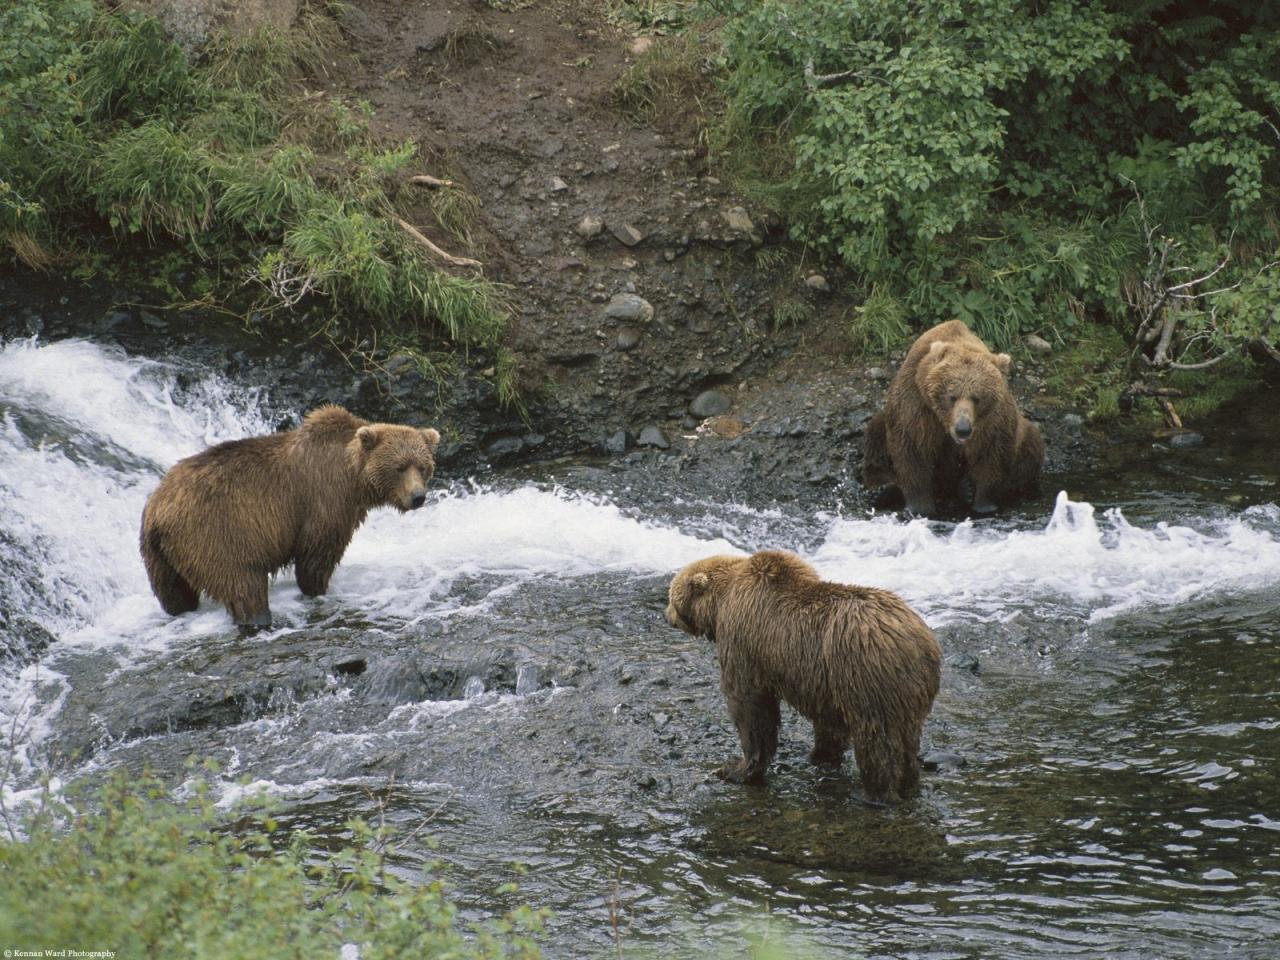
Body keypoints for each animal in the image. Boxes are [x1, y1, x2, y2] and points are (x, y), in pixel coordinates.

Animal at [140, 407, 440, 632]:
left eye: (423, 466)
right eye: (399, 467)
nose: (418, 497)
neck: (353, 477)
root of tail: (158, 509)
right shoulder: (324, 500)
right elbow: (316, 555)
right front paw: (317, 589)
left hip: (159, 555)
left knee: (174, 593)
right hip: (214, 533)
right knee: (243, 584)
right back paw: (258, 619)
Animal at [670, 547, 942, 803]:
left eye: (671, 598)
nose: (667, 615)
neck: (721, 603)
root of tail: (917, 641)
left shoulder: (743, 641)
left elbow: (750, 706)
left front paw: (736, 768)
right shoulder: (824, 680)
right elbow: (828, 720)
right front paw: (820, 754)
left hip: (865, 675)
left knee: (877, 740)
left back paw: (873, 793)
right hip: (908, 690)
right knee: (908, 737)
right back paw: (908, 783)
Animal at [865, 321, 1044, 519]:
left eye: (977, 398)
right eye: (952, 396)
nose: (962, 429)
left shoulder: (992, 420)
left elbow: (992, 453)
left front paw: (984, 504)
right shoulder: (916, 404)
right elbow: (912, 448)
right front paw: (920, 507)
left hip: (1024, 435)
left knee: (1029, 451)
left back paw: (966, 488)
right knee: (876, 433)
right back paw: (884, 486)